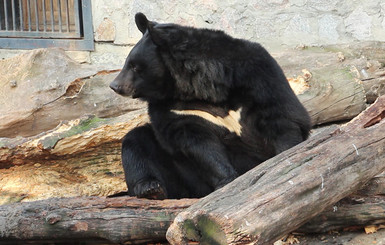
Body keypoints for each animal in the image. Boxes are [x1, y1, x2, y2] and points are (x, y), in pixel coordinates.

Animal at [109, 12, 312, 199]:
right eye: (127, 63)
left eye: (135, 66)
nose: (114, 85)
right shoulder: (176, 109)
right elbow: (198, 144)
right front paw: (228, 180)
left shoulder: (257, 76)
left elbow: (280, 116)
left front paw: (287, 157)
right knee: (136, 141)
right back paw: (150, 188)